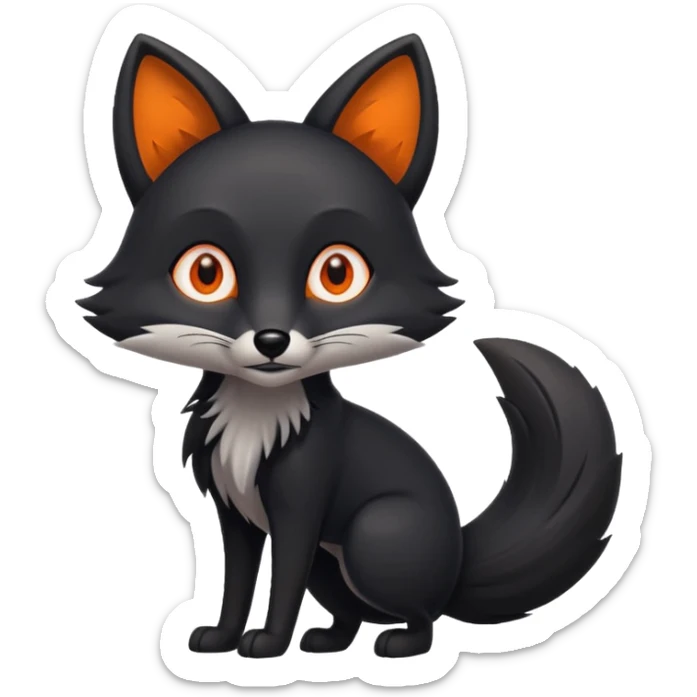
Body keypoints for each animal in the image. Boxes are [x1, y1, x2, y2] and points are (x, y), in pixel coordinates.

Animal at [76, 32, 623, 659]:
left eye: (337, 274)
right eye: (205, 273)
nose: (271, 338)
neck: (256, 416)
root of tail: (457, 563)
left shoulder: (300, 506)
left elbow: (281, 582)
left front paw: (268, 644)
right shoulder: (235, 514)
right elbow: (237, 581)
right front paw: (222, 637)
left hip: (374, 534)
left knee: (422, 615)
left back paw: (401, 646)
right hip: (331, 564)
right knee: (351, 614)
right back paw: (328, 642)